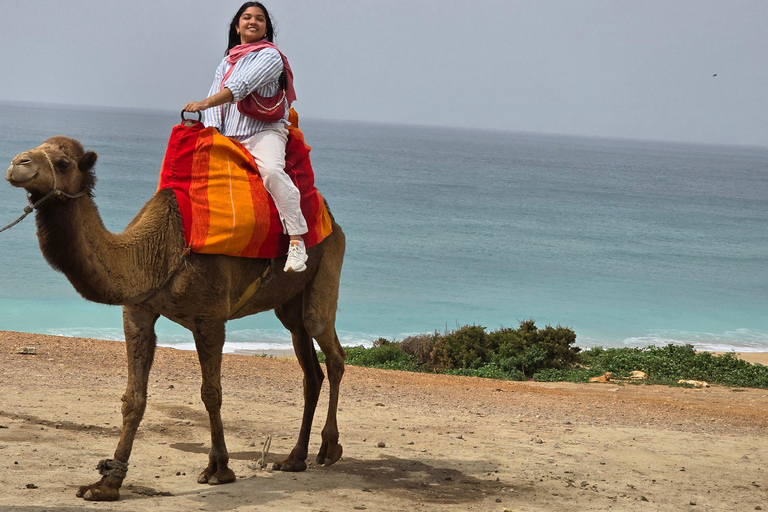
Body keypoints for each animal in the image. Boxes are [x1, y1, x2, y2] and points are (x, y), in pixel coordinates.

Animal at [4, 135, 346, 500]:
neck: (157, 252)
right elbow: (133, 398)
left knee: (329, 346)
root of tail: (330, 217)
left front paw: (218, 468)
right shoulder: (137, 311)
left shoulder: (210, 318)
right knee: (310, 369)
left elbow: (211, 393)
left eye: (63, 163)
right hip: (289, 305)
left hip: (328, 261)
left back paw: (329, 448)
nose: (17, 164)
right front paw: (107, 482)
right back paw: (294, 458)